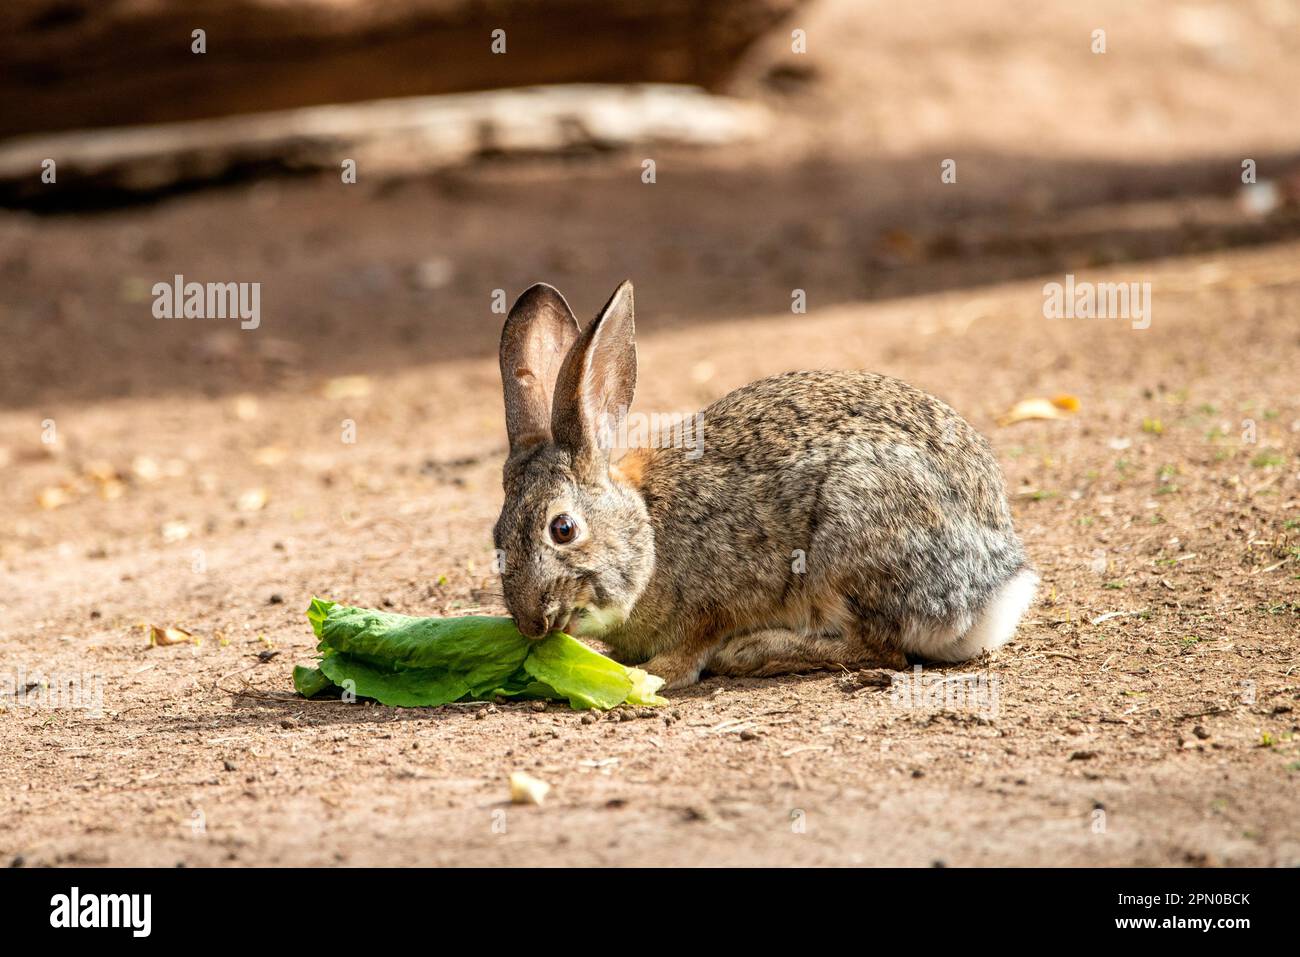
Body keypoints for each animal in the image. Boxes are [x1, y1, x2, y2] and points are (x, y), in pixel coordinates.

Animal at [491, 276, 1040, 686]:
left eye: (563, 530)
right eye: (496, 537)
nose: (532, 624)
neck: (647, 525)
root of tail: (996, 586)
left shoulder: (721, 598)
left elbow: (693, 646)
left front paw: (653, 673)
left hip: (851, 537)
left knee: (880, 649)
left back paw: (754, 651)